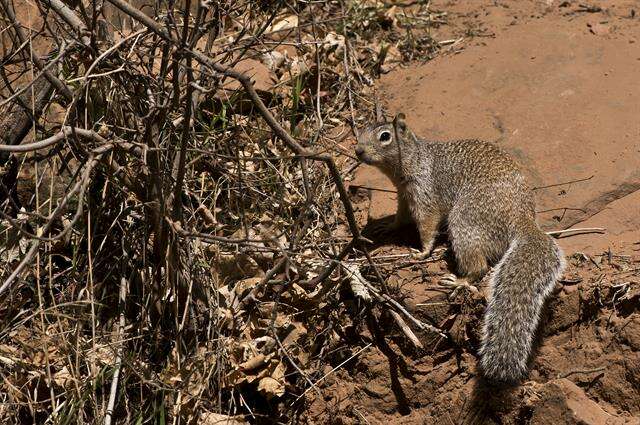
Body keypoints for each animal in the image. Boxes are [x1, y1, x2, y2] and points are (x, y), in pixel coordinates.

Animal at [356, 112, 564, 380]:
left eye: (385, 136)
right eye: (361, 130)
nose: (358, 150)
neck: (416, 158)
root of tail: (521, 217)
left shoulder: (424, 195)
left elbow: (427, 225)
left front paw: (422, 251)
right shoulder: (404, 195)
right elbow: (401, 217)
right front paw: (387, 227)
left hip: (464, 220)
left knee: (480, 267)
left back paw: (459, 281)